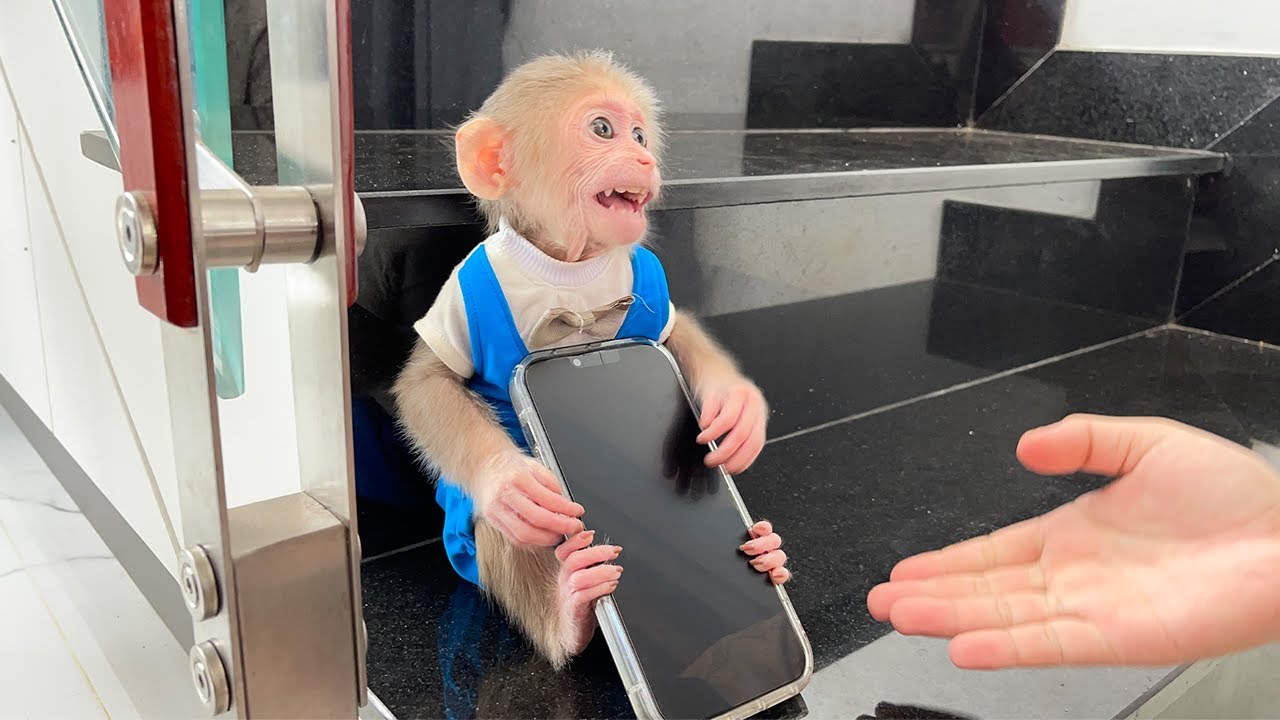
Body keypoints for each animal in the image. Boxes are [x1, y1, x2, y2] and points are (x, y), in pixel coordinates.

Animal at [393, 51, 792, 669]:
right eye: (602, 129)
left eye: (640, 134)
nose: (643, 156)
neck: (568, 270)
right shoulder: (462, 289)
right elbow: (429, 382)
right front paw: (508, 482)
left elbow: (676, 333)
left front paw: (736, 409)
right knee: (518, 532)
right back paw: (570, 614)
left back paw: (767, 552)